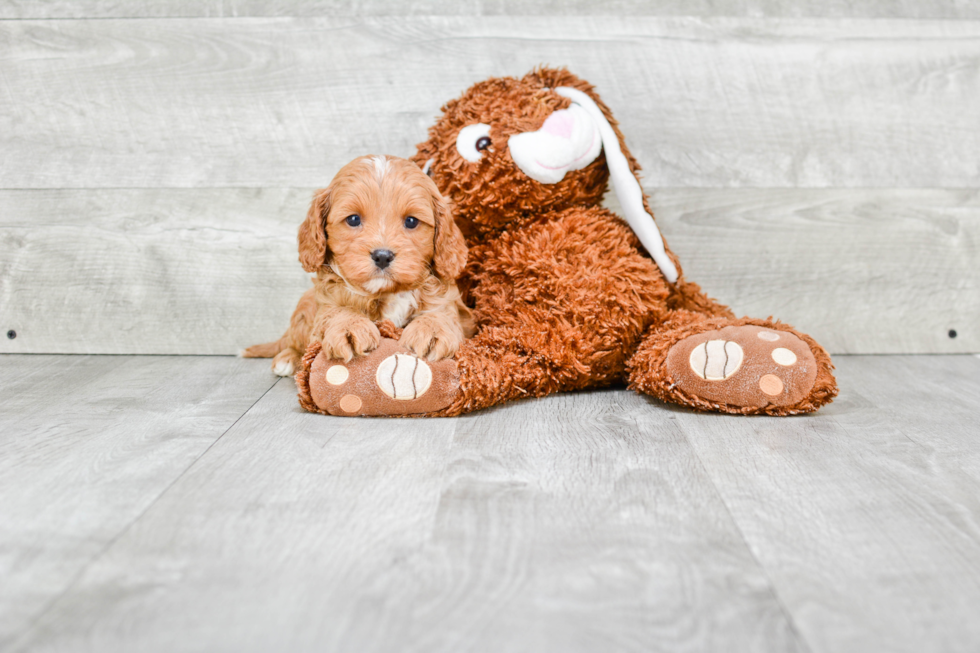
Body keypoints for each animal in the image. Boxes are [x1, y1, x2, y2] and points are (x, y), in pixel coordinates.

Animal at [244, 155, 474, 374]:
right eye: (353, 219)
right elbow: (337, 311)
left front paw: (431, 329)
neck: (386, 292)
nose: (382, 256)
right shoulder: (326, 300)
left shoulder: (450, 304)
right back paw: (288, 358)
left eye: (411, 221)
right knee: (294, 341)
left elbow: (442, 313)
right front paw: (349, 327)